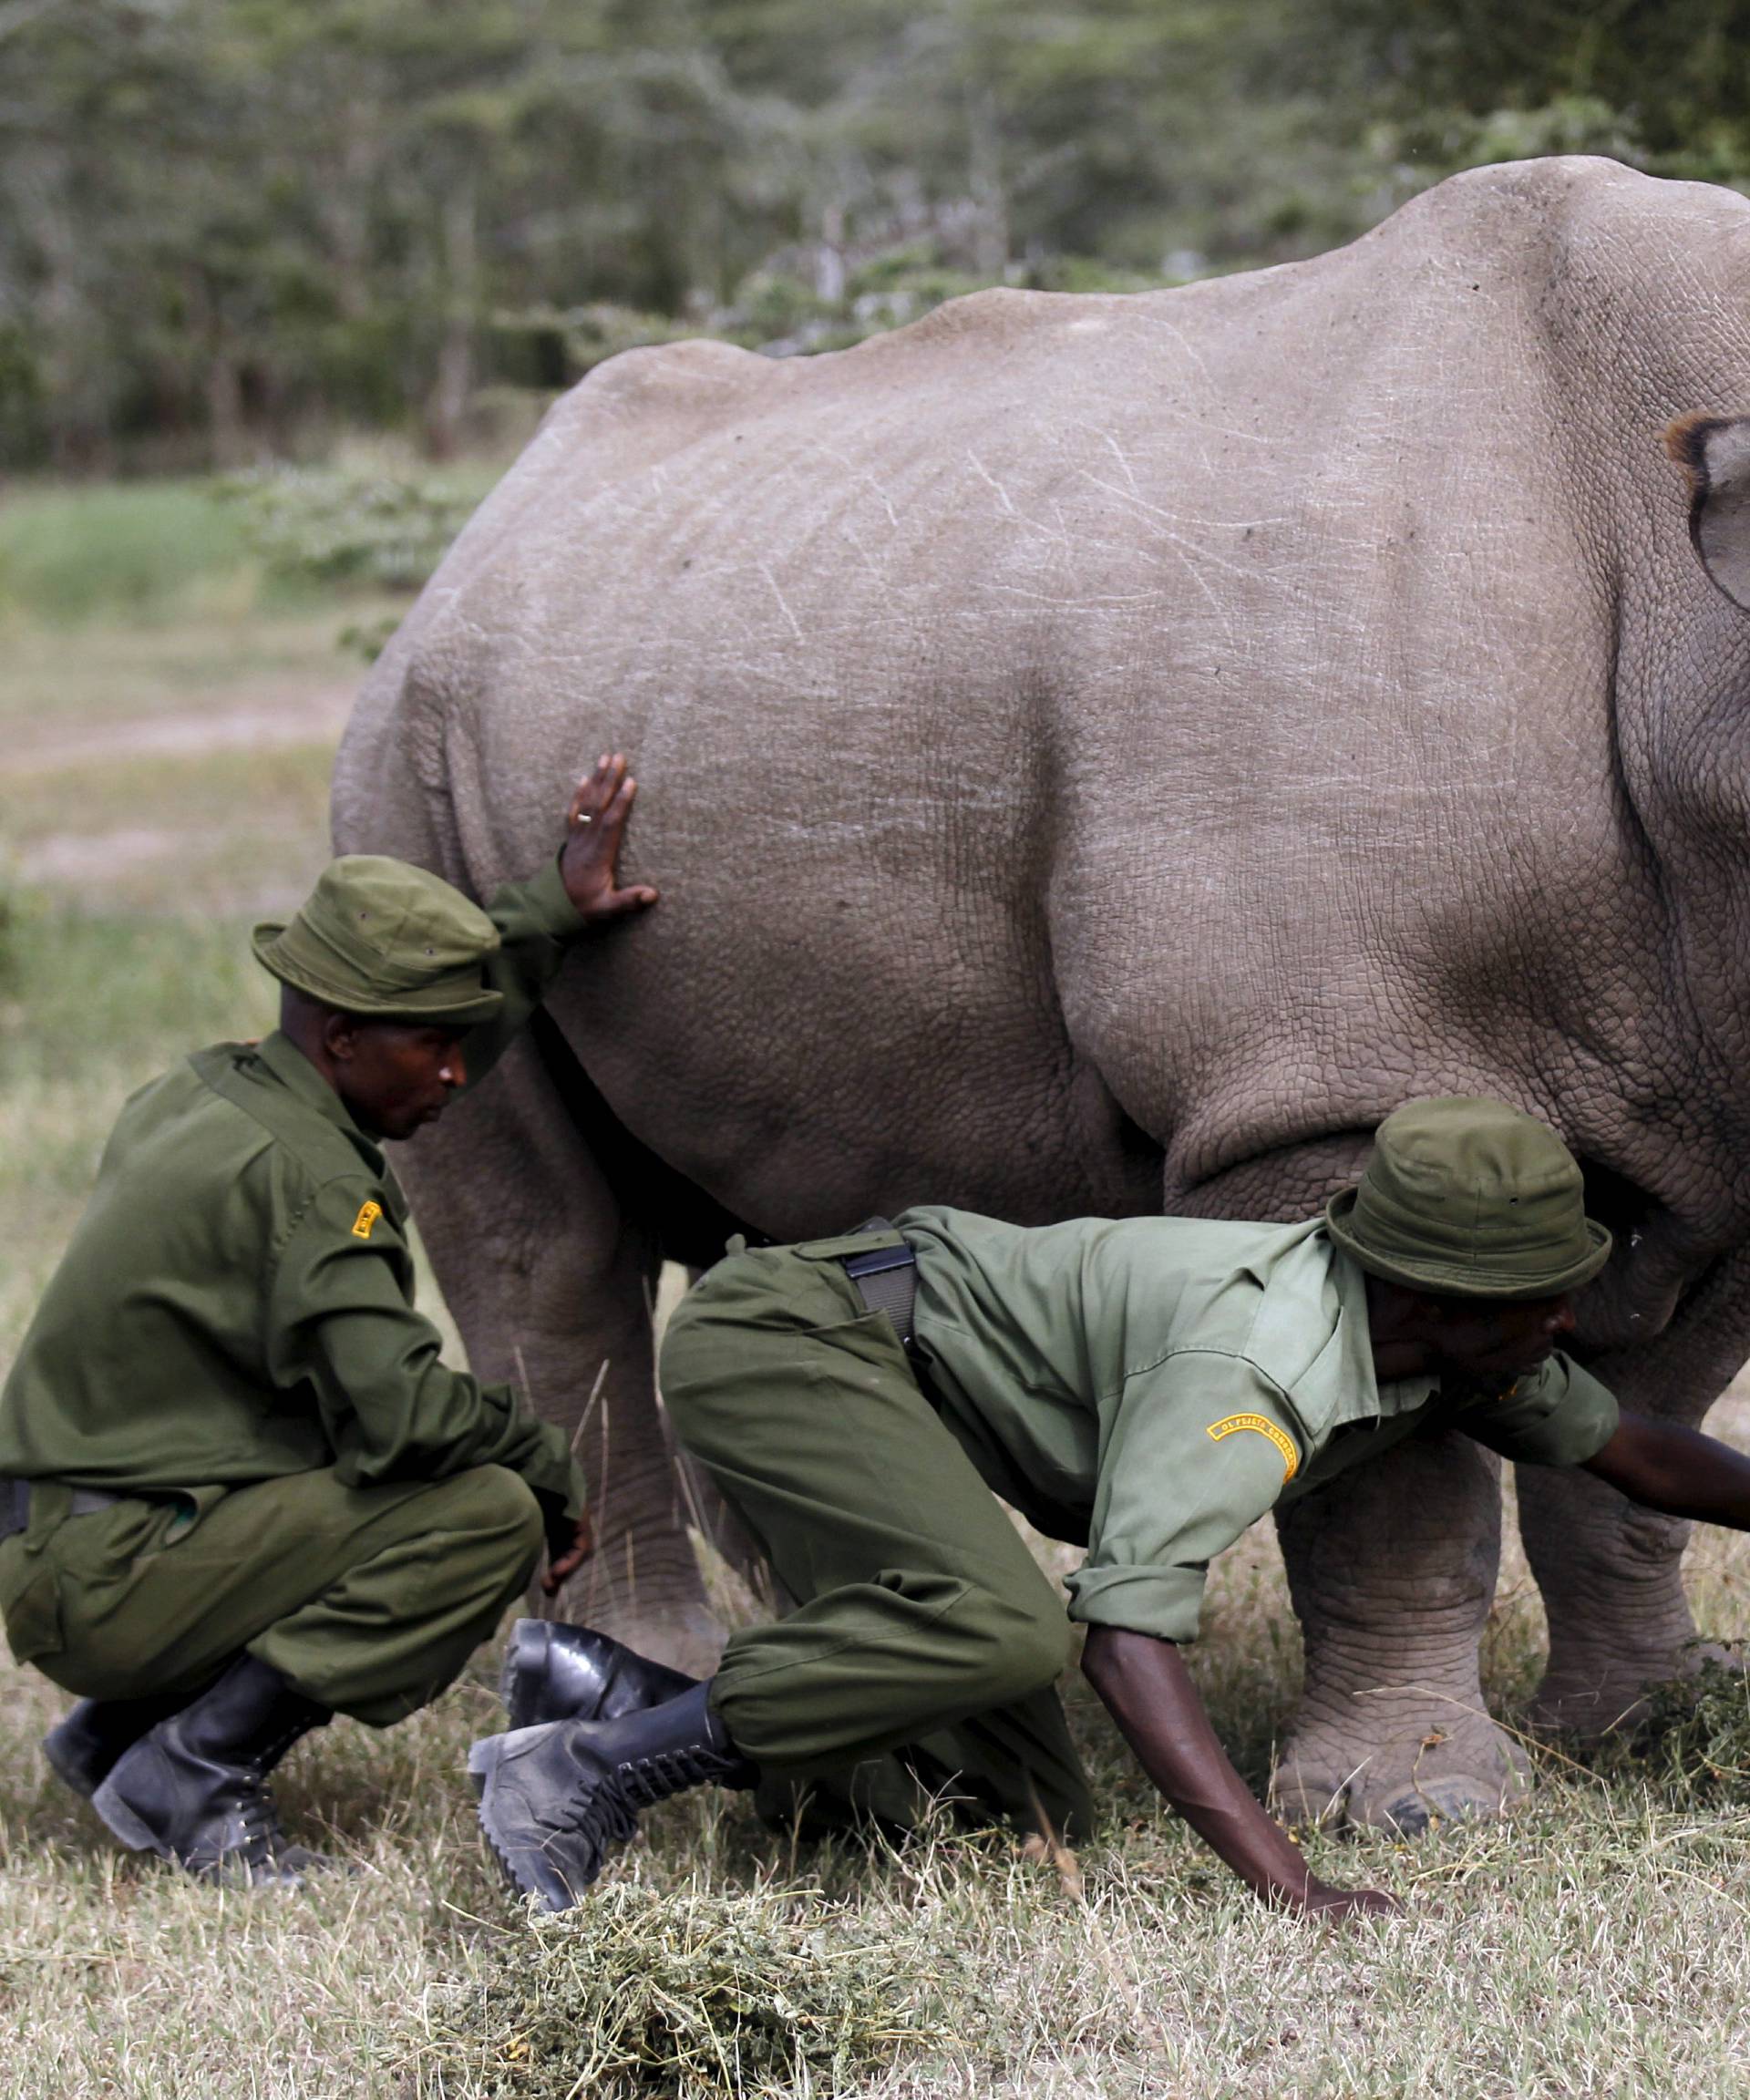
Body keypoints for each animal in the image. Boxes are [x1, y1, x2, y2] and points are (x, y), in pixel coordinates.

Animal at [332, 155, 1750, 1831]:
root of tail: (481, 531)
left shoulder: (1712, 1083)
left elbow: (1642, 1431)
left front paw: (1655, 1724)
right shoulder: (1316, 1084)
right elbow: (1403, 1481)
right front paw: (1409, 1810)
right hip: (406, 755)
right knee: (545, 1244)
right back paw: (640, 1697)